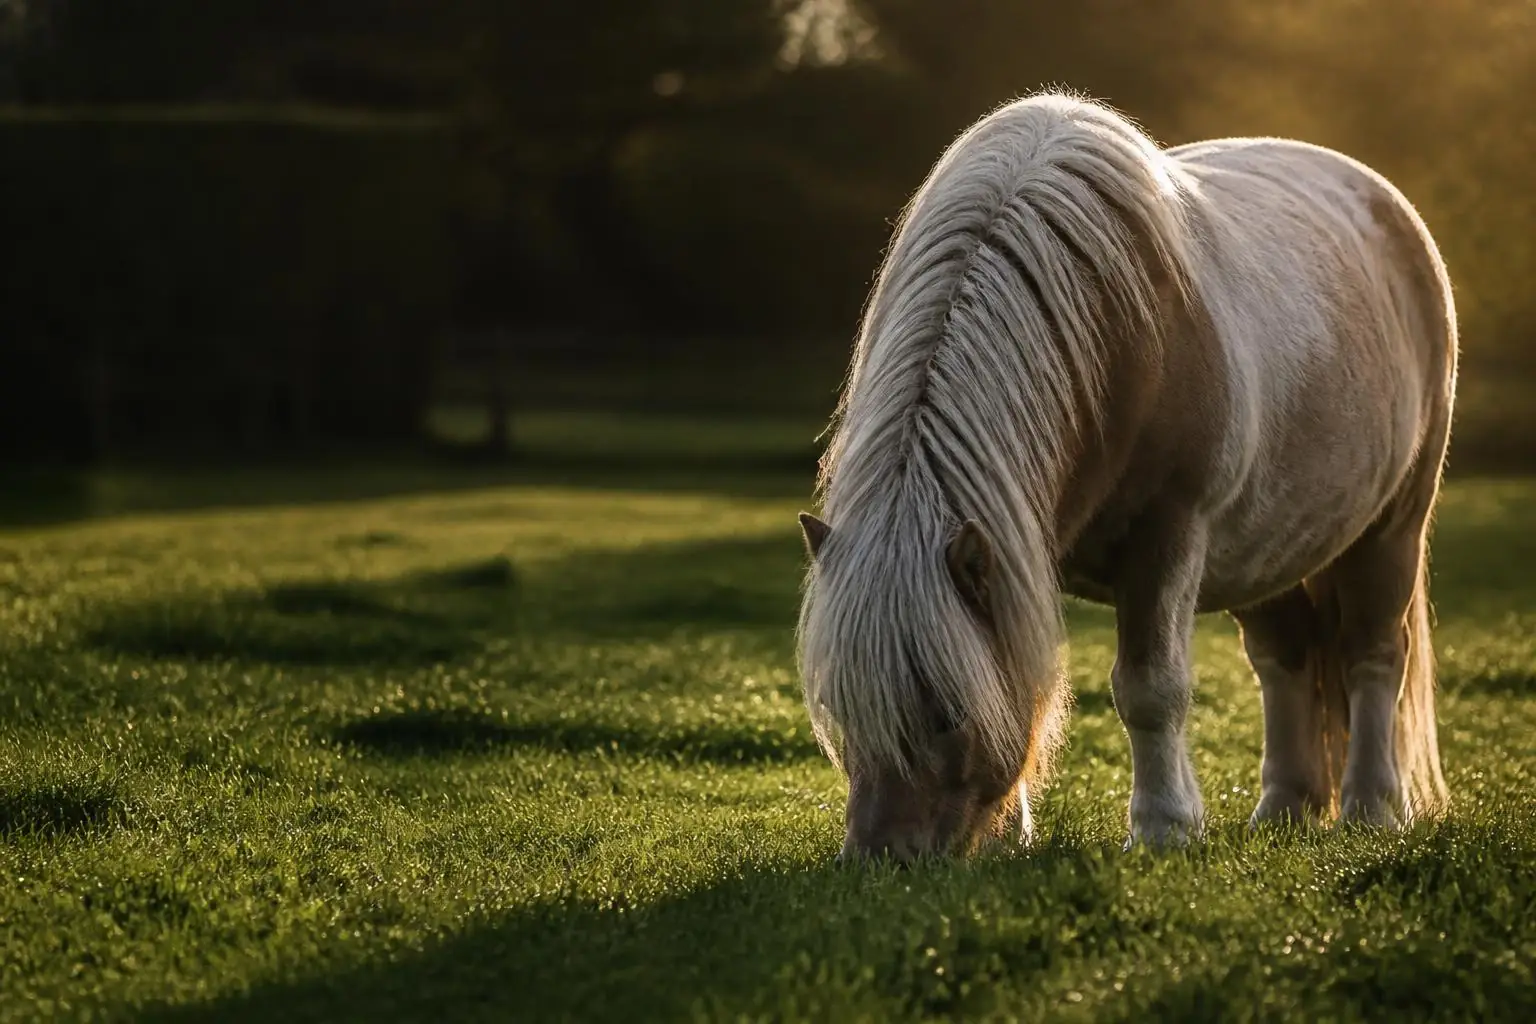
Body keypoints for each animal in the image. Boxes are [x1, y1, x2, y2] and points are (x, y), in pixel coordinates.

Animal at [795, 91, 1456, 862]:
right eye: (842, 707)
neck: (1116, 332)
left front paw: (1165, 826)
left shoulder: (1167, 534)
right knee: (1285, 658)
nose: (881, 858)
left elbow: (1149, 687)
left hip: (1394, 523)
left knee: (1374, 653)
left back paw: (1372, 807)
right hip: (1273, 545)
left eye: (946, 713)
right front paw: (1013, 836)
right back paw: (1285, 809)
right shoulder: (1022, 548)